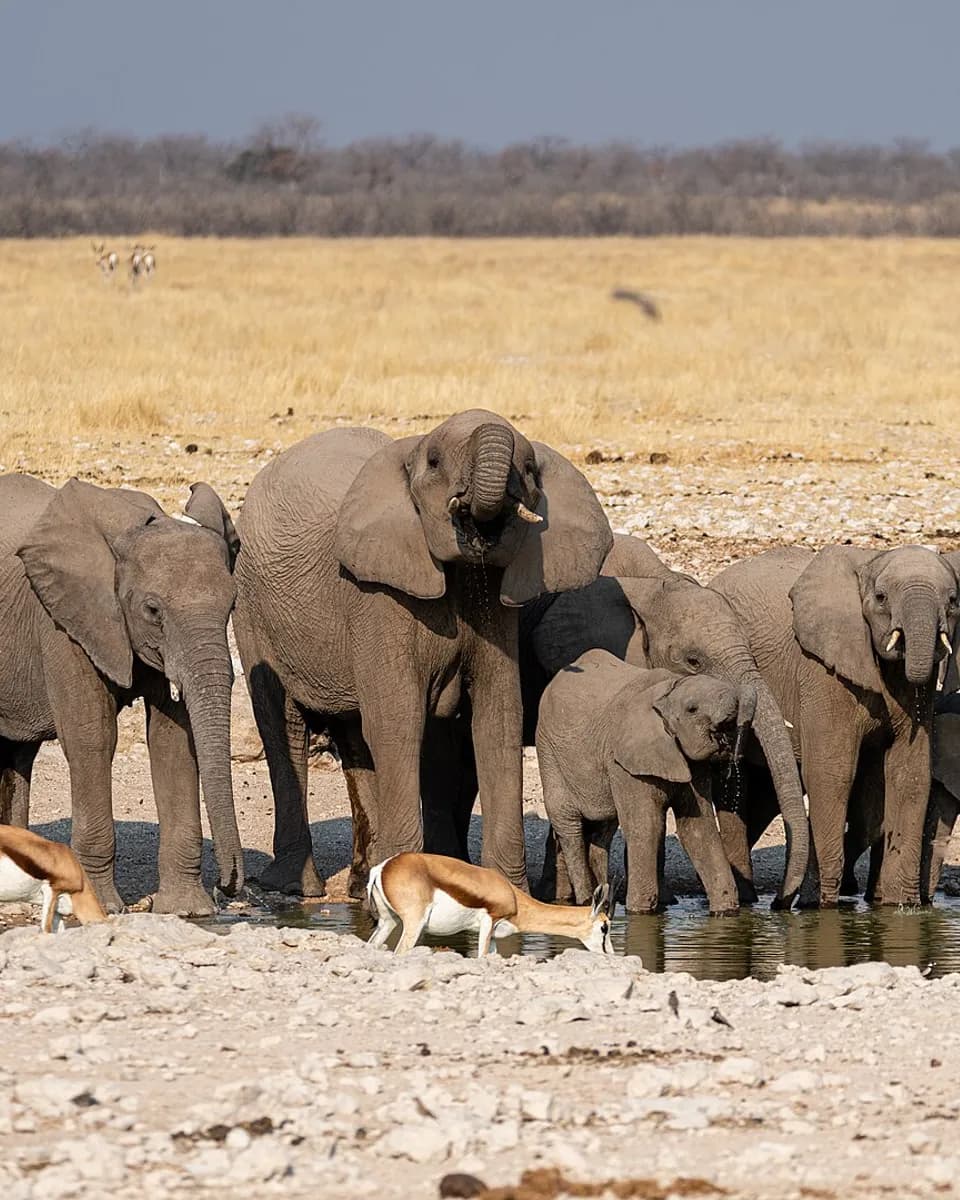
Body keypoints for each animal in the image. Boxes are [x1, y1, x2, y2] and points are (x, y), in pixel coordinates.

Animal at [0, 474, 243, 916]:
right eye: (152, 610)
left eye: (232, 604)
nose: (228, 886)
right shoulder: (64, 620)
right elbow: (93, 737)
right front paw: (101, 908)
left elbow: (173, 741)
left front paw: (188, 911)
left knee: (17, 753)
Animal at [232, 409, 612, 897]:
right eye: (433, 463)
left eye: (529, 470)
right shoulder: (378, 596)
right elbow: (399, 721)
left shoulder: (493, 607)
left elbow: (497, 719)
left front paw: (510, 894)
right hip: (253, 609)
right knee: (285, 725)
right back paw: (297, 889)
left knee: (355, 737)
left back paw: (359, 884)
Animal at [537, 649, 751, 914]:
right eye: (692, 709)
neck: (668, 691)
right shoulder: (623, 762)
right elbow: (646, 827)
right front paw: (640, 912)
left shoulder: (692, 763)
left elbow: (699, 828)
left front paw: (726, 912)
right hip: (549, 752)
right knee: (569, 825)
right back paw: (586, 901)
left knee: (602, 828)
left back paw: (599, 899)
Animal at [710, 544, 960, 907]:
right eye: (881, 597)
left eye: (953, 601)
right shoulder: (822, 674)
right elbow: (833, 771)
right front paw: (821, 907)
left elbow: (909, 772)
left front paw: (902, 906)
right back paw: (753, 902)